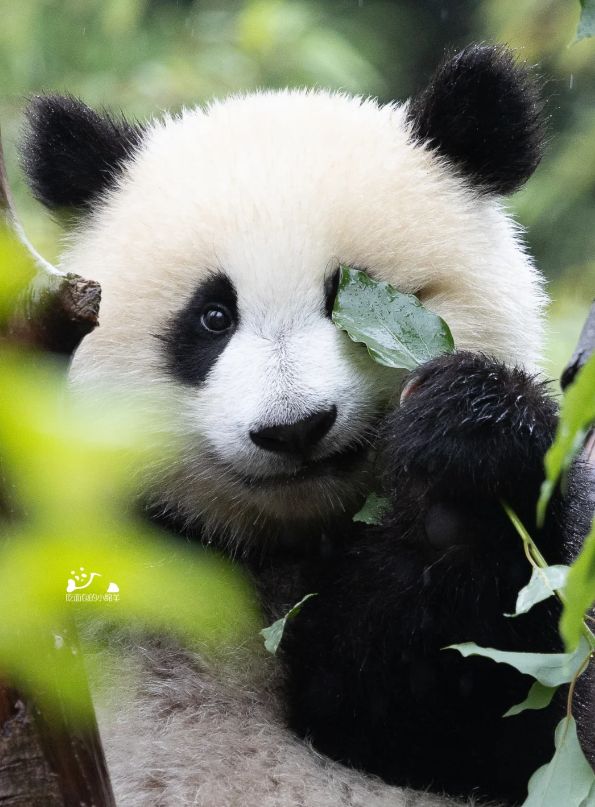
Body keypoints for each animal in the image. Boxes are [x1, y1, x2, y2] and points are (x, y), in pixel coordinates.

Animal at [21, 44, 593, 807]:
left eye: (349, 298)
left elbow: (485, 700)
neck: (284, 539)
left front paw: (467, 445)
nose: (294, 429)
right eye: (213, 317)